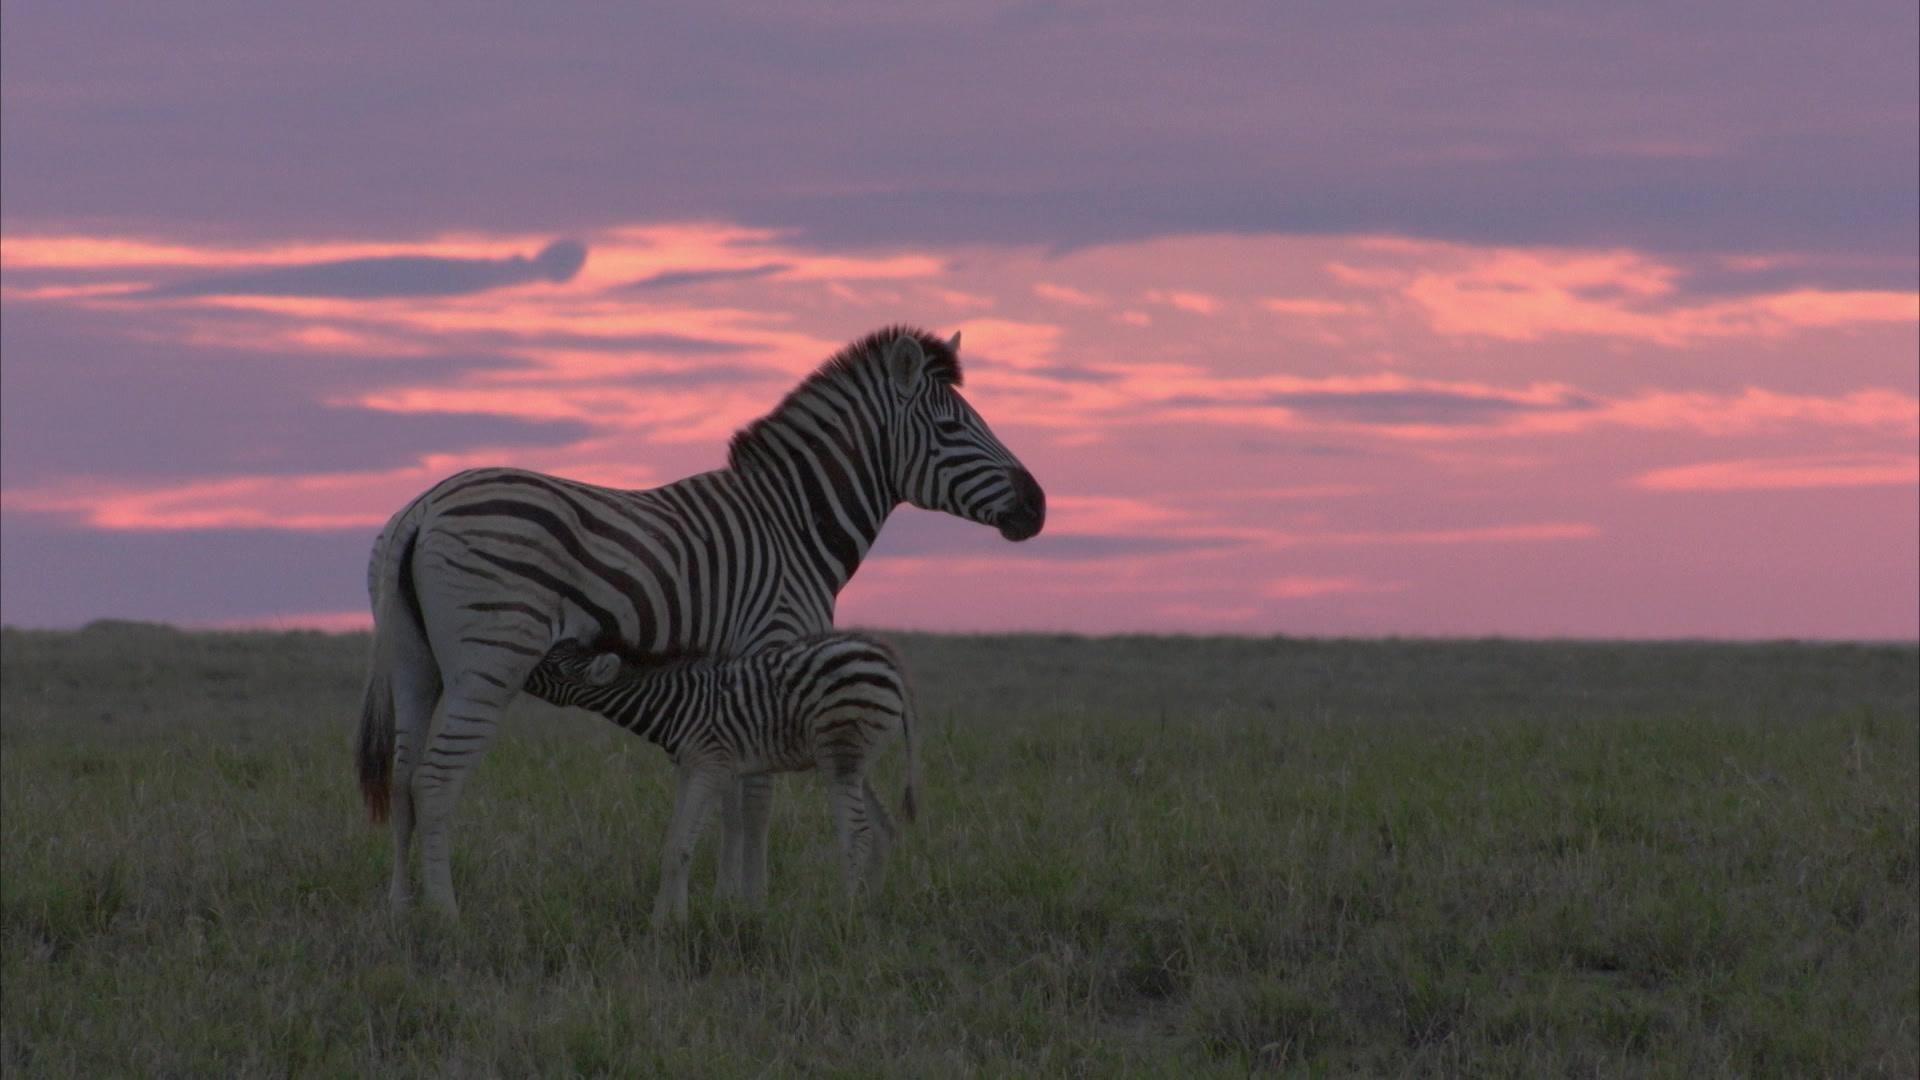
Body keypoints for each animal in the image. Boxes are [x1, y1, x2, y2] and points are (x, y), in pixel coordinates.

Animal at [526, 633, 918, 926]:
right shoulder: (689, 767)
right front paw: (664, 919)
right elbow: (673, 842)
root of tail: (888, 660)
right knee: (884, 826)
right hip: (853, 762)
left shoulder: (710, 765)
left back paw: (843, 914)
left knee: (858, 832)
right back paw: (868, 907)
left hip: (841, 754)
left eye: (554, 667)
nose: (521, 674)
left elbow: (680, 847)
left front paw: (670, 927)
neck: (673, 705)